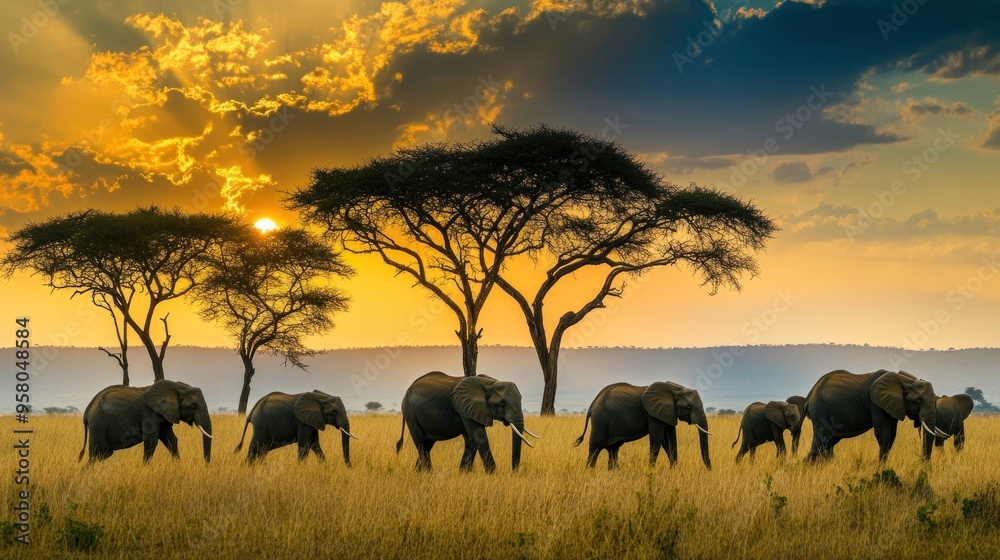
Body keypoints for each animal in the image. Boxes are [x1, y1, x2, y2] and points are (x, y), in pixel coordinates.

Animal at [78, 380, 213, 463]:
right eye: (193, 406)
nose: (206, 466)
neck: (177, 387)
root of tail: (87, 411)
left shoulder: (163, 414)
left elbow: (171, 440)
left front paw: (179, 466)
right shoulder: (150, 414)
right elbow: (151, 441)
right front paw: (145, 468)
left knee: (103, 454)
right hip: (99, 424)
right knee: (96, 453)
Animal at [396, 372, 539, 473]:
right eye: (502, 404)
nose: (514, 472)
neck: (491, 382)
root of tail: (407, 391)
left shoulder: (469, 410)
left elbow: (471, 441)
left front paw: (464, 474)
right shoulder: (465, 408)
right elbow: (479, 437)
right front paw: (493, 474)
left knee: (427, 444)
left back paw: (418, 472)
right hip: (411, 413)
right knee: (421, 443)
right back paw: (429, 473)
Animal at [573, 382, 712, 470]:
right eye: (688, 407)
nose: (709, 469)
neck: (674, 388)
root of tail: (592, 406)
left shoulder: (667, 413)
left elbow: (670, 440)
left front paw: (673, 470)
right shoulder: (653, 414)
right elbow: (657, 439)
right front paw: (651, 471)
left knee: (613, 449)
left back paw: (614, 472)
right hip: (601, 420)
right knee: (595, 447)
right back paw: (590, 471)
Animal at [803, 369, 949, 462]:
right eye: (918, 401)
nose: (924, 463)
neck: (905, 380)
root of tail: (809, 396)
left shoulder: (892, 406)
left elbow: (892, 434)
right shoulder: (876, 404)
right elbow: (884, 433)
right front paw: (881, 466)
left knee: (828, 442)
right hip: (821, 412)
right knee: (823, 440)